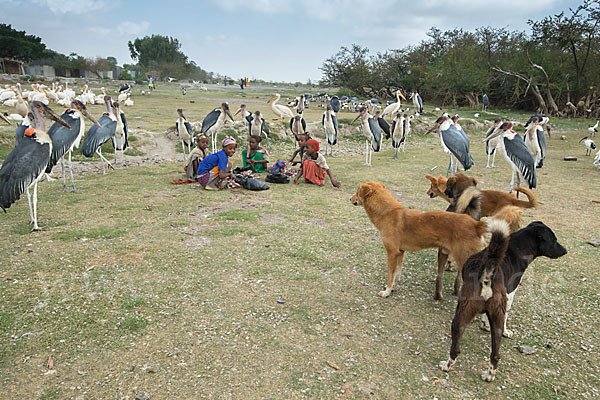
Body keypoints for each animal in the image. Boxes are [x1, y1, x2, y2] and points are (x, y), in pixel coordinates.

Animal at [352, 183, 488, 298]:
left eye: (357, 191)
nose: (350, 199)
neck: (387, 212)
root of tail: (476, 225)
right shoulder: (400, 252)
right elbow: (397, 274)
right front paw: (394, 288)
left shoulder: (391, 253)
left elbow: (390, 275)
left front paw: (387, 291)